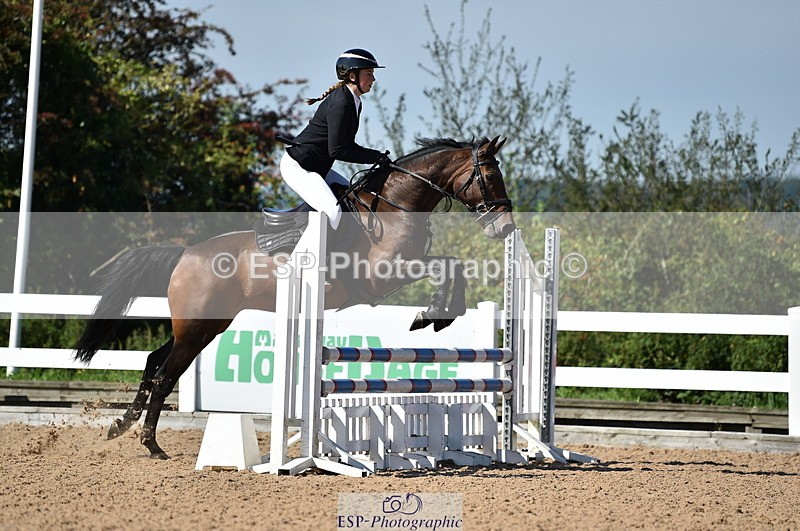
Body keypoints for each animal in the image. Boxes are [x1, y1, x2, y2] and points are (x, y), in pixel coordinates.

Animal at [74, 136, 515, 459]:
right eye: (491, 176)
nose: (506, 228)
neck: (396, 206)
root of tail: (185, 254)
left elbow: (452, 264)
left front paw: (440, 314)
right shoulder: (383, 277)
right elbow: (447, 266)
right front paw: (434, 315)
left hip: (206, 325)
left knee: (153, 362)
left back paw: (121, 426)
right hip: (197, 327)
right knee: (165, 374)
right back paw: (151, 445)